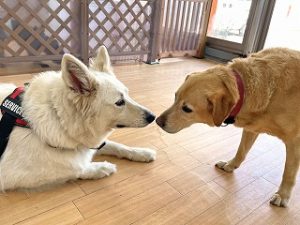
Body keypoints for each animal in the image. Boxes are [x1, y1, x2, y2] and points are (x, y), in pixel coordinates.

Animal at [0, 46, 156, 191]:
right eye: (119, 102)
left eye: (128, 95)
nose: (153, 117)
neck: (59, 117)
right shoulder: (9, 174)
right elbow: (76, 168)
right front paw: (101, 168)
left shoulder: (86, 144)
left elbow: (117, 146)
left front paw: (141, 152)